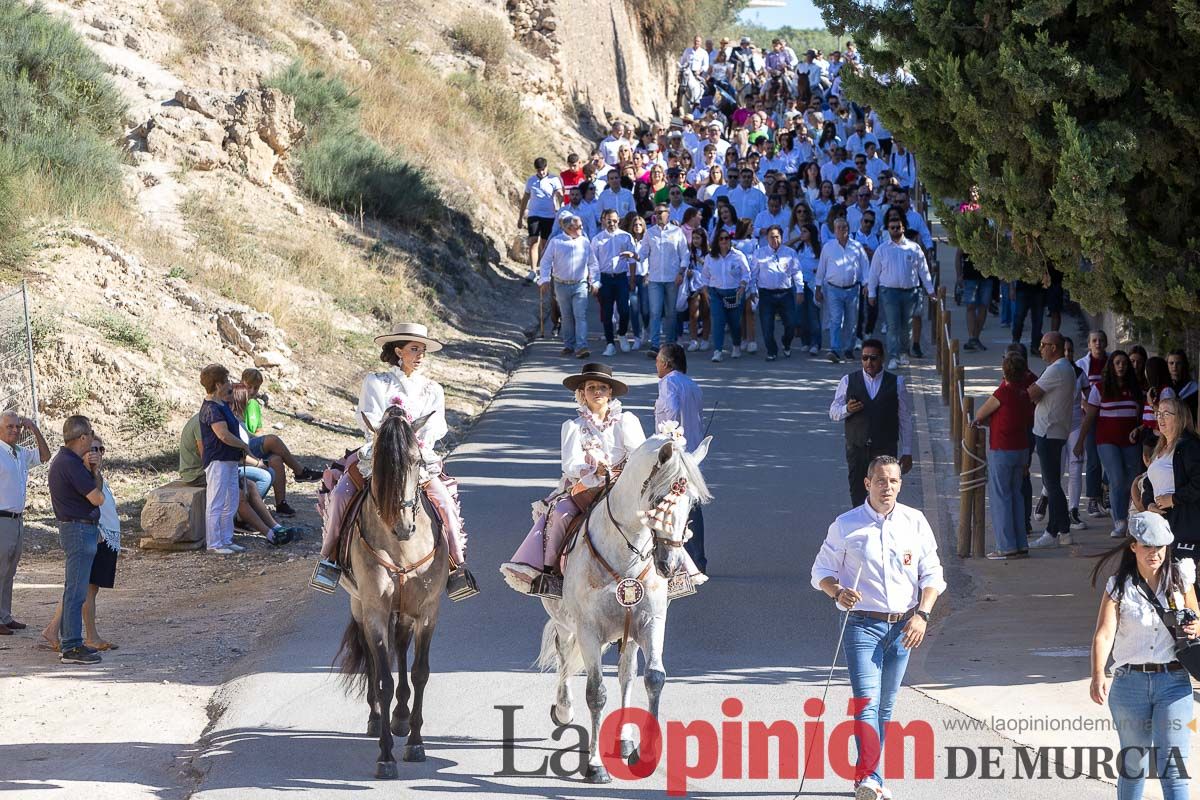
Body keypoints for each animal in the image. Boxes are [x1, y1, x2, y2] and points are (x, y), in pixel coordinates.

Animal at [537, 434, 710, 786]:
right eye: (658, 500)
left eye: (692, 504)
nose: (670, 566)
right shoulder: (588, 630)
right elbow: (596, 693)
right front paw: (595, 766)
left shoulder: (651, 622)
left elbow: (653, 678)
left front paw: (645, 755)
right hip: (564, 622)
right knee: (564, 656)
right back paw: (563, 710)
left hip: (627, 634)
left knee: (626, 676)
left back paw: (625, 740)